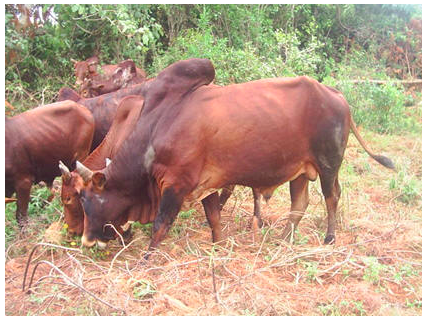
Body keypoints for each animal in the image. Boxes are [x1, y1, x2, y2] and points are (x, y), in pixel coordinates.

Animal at [76, 58, 394, 253]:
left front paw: (147, 258)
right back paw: (284, 239)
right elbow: (214, 217)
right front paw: (217, 246)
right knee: (299, 204)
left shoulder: (177, 184)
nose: (87, 240)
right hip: (301, 171)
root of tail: (337, 96)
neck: (159, 123)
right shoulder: (205, 184)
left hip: (328, 165)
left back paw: (329, 237)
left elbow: (161, 224)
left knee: (332, 197)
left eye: (89, 200)